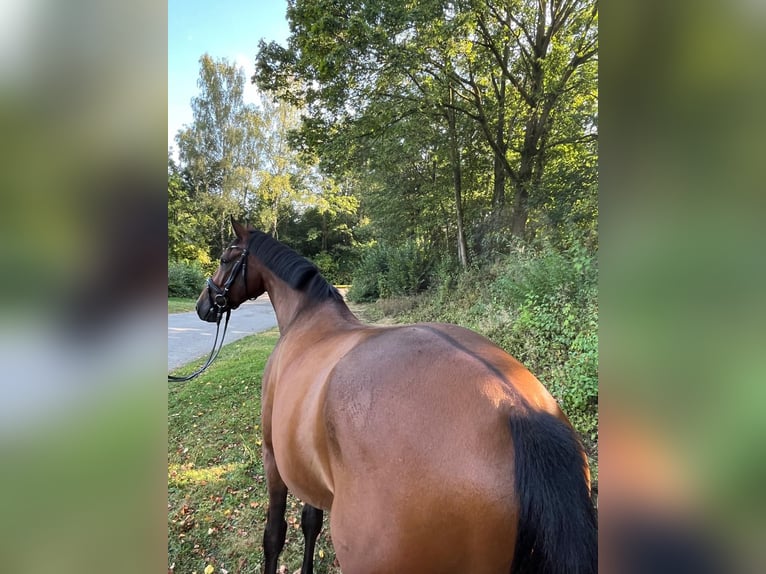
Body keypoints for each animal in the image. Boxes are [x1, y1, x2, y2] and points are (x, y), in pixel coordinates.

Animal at [195, 218, 596, 572]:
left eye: (225, 258)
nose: (203, 305)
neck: (306, 319)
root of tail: (516, 408)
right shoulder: (307, 469)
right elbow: (310, 523)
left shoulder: (274, 457)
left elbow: (275, 536)